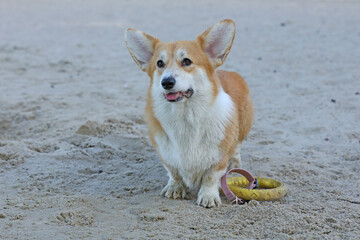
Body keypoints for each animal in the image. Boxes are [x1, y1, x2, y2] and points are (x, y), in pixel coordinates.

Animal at [125, 19, 255, 207]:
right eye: (159, 63)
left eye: (186, 61)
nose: (167, 82)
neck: (185, 116)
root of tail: (228, 71)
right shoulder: (166, 154)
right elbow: (174, 172)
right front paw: (175, 187)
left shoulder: (219, 156)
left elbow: (211, 176)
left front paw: (208, 196)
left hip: (244, 124)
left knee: (237, 146)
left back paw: (235, 164)